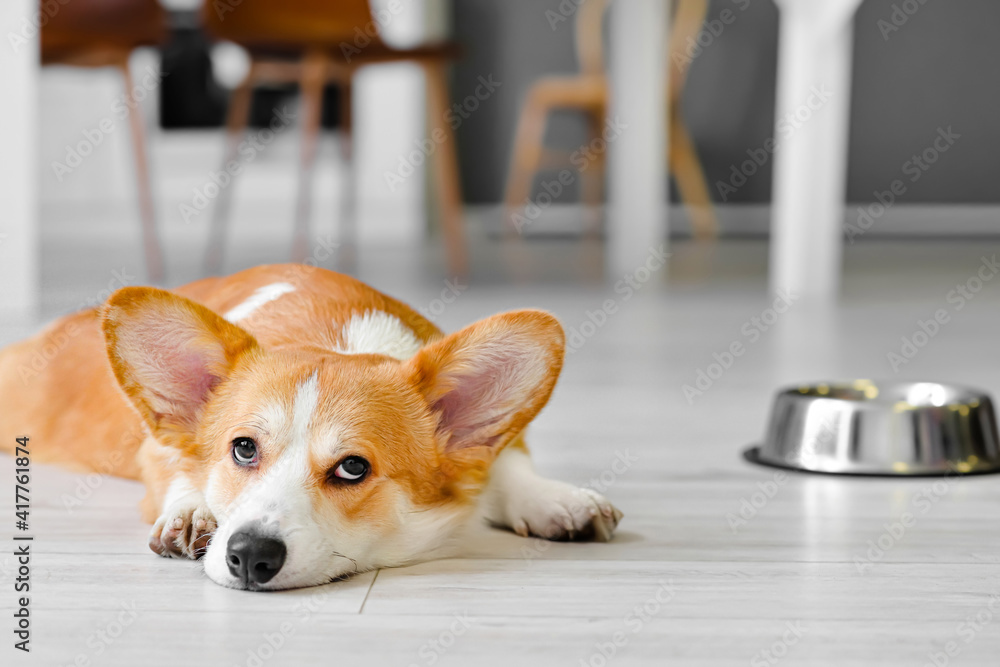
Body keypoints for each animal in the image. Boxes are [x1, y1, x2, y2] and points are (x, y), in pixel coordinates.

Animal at [0, 264, 620, 588]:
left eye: (353, 467)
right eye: (242, 449)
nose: (250, 557)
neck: (334, 337)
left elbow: (508, 464)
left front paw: (557, 500)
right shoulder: (157, 450)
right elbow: (180, 470)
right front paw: (194, 512)